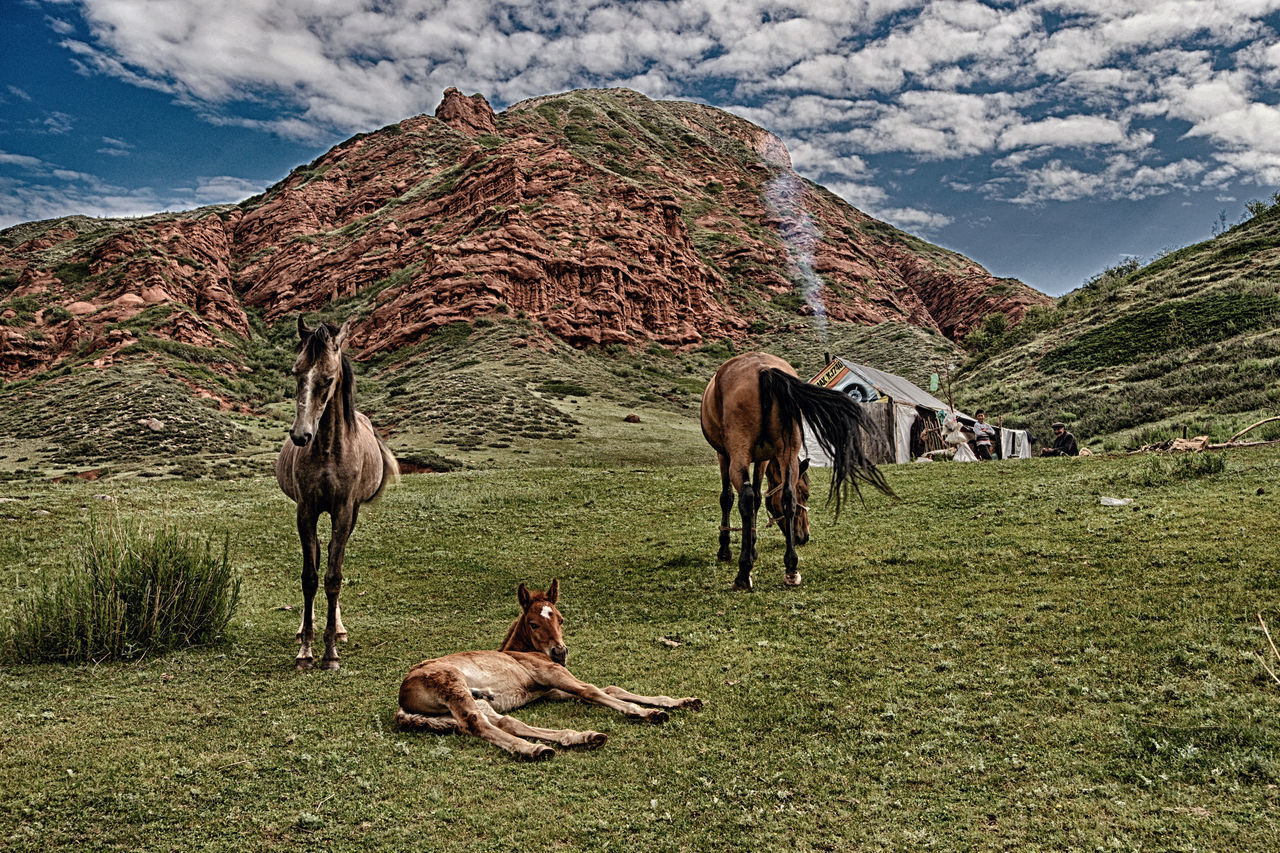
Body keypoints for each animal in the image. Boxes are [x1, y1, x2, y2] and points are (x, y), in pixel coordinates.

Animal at [277, 315, 396, 666]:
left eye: (328, 378)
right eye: (297, 371)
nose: (301, 435)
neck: (329, 450)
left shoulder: (343, 511)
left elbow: (333, 577)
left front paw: (330, 651)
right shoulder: (305, 511)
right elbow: (310, 576)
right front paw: (306, 649)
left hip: (349, 514)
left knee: (331, 556)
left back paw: (339, 629)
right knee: (317, 554)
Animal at [394, 578, 706, 758]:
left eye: (561, 619)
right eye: (533, 623)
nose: (560, 652)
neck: (522, 652)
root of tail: (402, 701)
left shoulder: (550, 689)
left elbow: (610, 688)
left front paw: (682, 701)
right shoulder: (551, 673)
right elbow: (592, 690)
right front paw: (646, 712)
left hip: (471, 704)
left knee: (503, 723)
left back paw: (584, 737)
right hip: (454, 686)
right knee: (476, 724)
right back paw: (534, 749)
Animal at [701, 348, 890, 589]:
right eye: (806, 494)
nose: (804, 536)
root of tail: (764, 370)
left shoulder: (724, 455)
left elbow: (729, 498)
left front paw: (727, 550)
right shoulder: (763, 458)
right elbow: (760, 498)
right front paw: (752, 548)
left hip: (739, 454)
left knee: (745, 498)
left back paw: (744, 573)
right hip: (787, 451)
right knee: (787, 498)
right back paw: (791, 568)